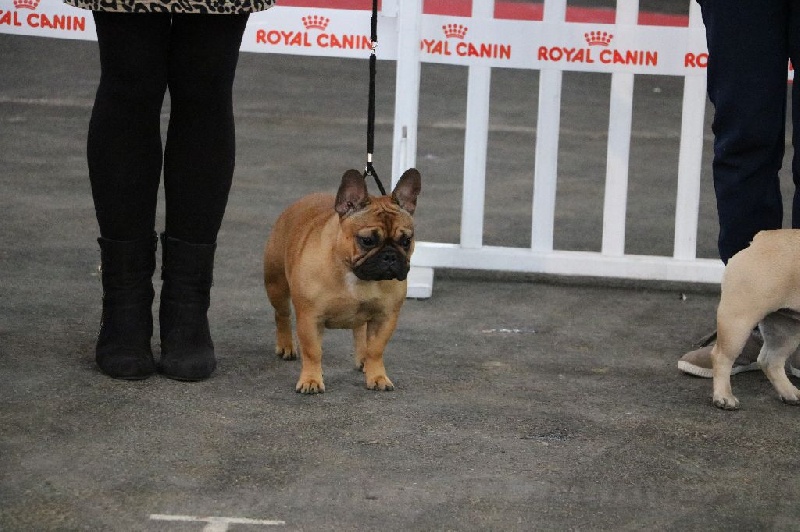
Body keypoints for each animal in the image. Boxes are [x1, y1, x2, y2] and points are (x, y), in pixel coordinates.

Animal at [264, 168, 421, 394]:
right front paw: (311, 380)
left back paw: (363, 359)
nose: (390, 256)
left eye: (406, 241)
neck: (355, 275)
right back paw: (286, 346)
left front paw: (377, 376)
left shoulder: (385, 318)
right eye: (367, 240)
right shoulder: (310, 318)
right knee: (282, 315)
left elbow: (376, 349)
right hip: (276, 285)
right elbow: (312, 351)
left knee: (360, 330)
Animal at [710, 229, 800, 409]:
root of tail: (762, 238)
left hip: (787, 330)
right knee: (721, 357)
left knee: (771, 361)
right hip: (738, 321)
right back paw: (724, 397)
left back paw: (790, 393)